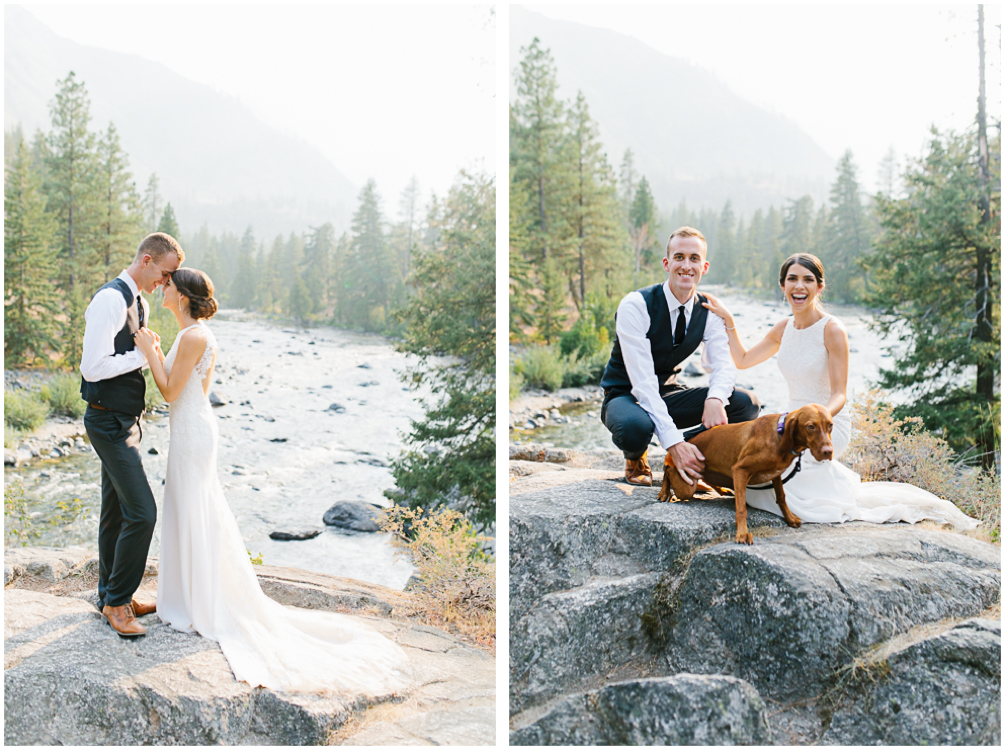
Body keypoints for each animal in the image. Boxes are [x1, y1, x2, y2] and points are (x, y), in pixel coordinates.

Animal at [654, 405, 835, 546]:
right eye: (810, 426)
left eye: (830, 425)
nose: (828, 452)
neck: (779, 434)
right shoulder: (740, 470)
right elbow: (741, 508)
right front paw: (742, 534)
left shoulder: (776, 474)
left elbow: (782, 497)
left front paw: (789, 517)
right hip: (685, 485)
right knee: (667, 465)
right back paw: (664, 491)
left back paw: (721, 490)